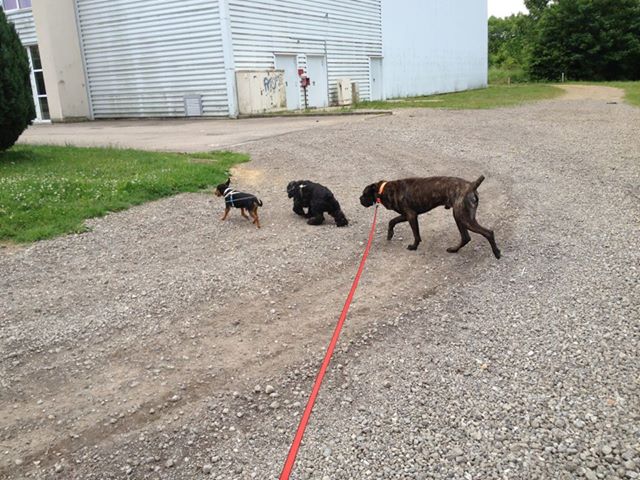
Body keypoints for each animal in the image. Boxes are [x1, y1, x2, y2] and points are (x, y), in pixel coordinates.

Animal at [360, 176, 500, 258]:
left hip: (464, 218)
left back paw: (497, 253)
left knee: (488, 232)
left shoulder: (411, 216)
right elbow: (391, 221)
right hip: (460, 217)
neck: (384, 189)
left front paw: (414, 246)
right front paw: (390, 234)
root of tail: (471, 185)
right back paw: (454, 250)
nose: (359, 199)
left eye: (364, 194)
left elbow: (416, 235)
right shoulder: (405, 215)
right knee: (466, 238)